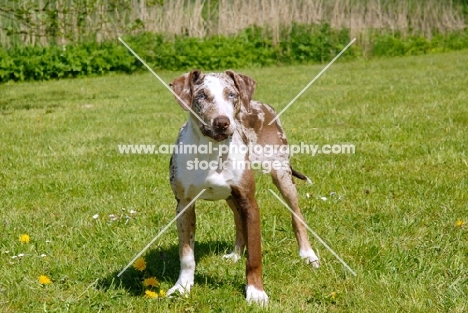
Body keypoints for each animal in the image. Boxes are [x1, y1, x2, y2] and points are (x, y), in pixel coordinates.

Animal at [166, 69, 320, 304]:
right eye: (201, 95)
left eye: (232, 95)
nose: (222, 122)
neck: (212, 152)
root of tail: (261, 104)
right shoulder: (184, 205)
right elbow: (186, 255)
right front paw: (182, 287)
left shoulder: (250, 202)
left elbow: (255, 255)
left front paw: (256, 292)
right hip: (232, 196)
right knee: (239, 221)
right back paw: (236, 254)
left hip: (282, 176)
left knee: (297, 216)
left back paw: (307, 255)